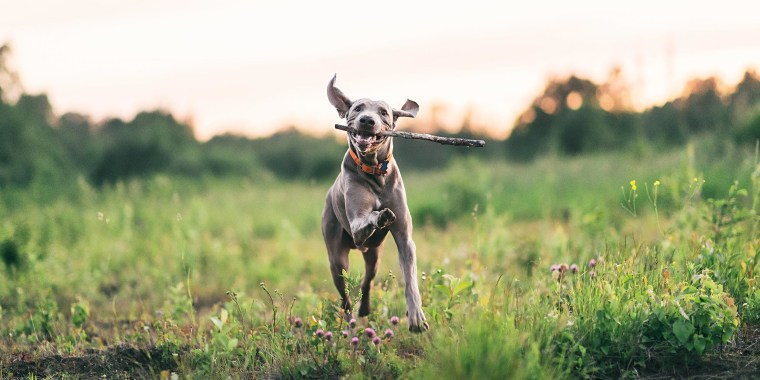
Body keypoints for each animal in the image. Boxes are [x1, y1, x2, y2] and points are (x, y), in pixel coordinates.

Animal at [320, 75, 428, 332]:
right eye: (357, 108)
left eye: (384, 112)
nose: (367, 121)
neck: (375, 170)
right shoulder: (357, 226)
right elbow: (366, 218)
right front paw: (379, 215)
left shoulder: (405, 239)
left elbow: (410, 278)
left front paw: (416, 317)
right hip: (336, 258)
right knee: (345, 298)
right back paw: (350, 325)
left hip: (374, 256)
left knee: (367, 280)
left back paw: (365, 308)